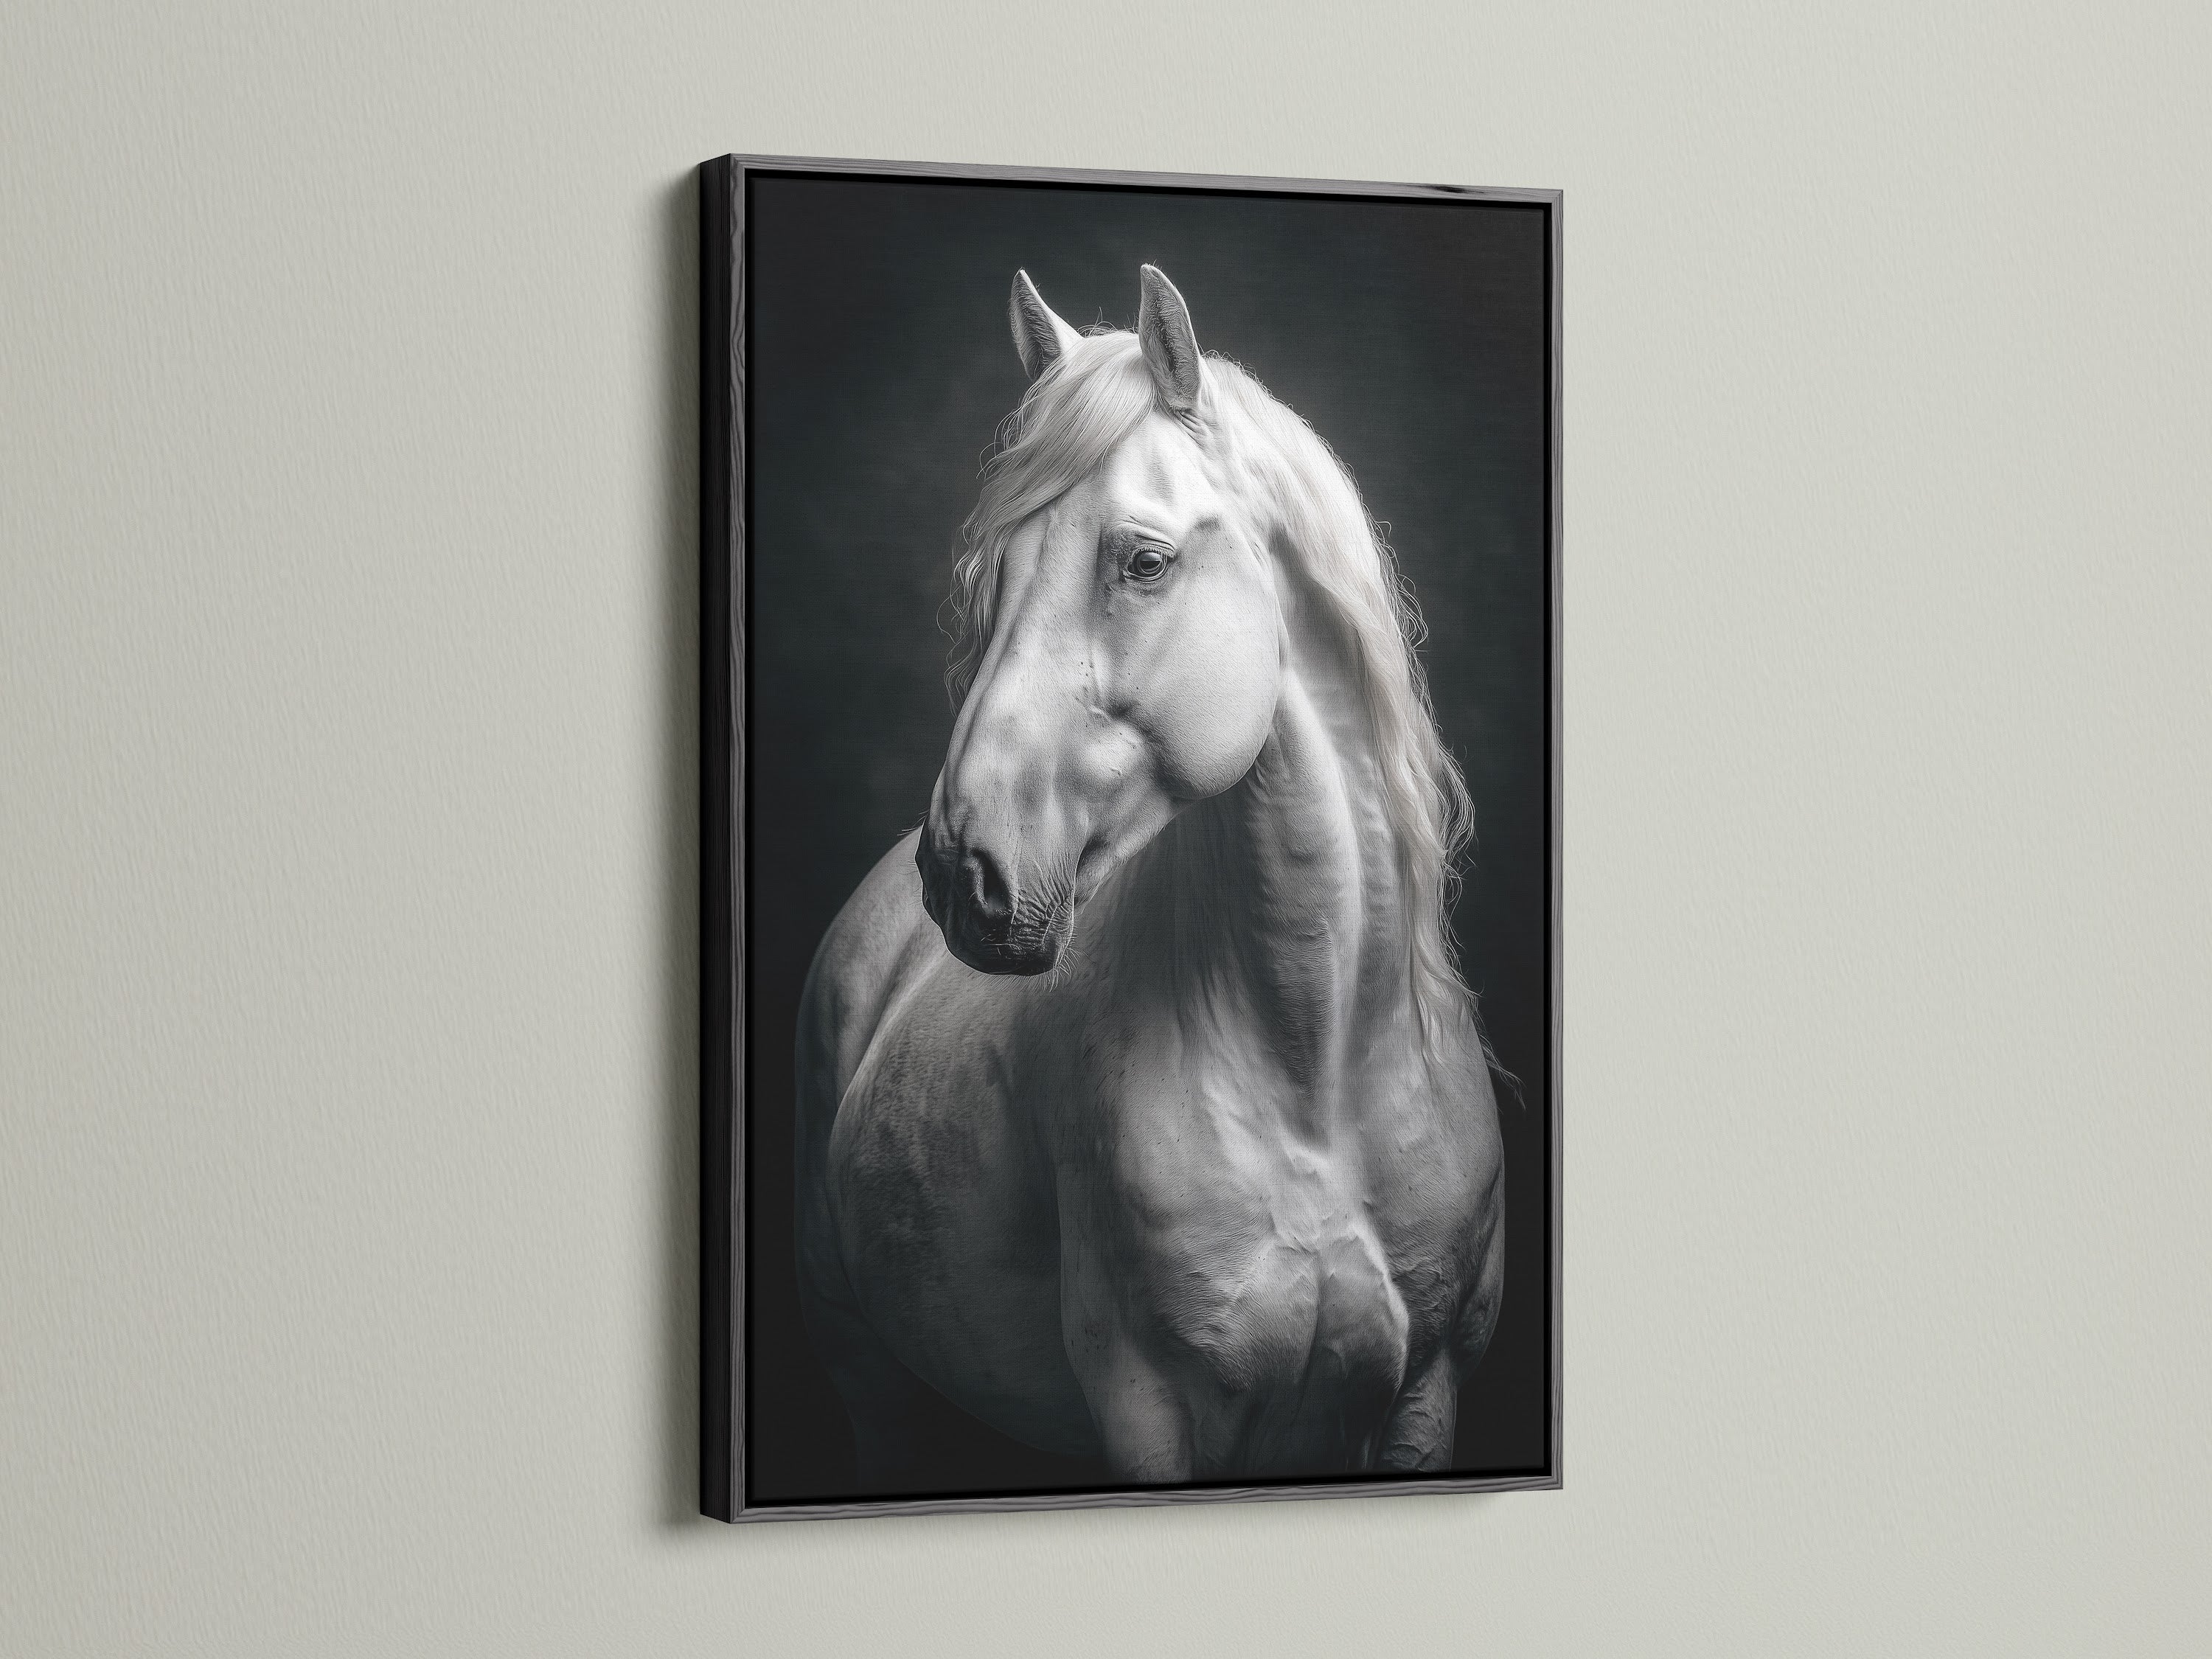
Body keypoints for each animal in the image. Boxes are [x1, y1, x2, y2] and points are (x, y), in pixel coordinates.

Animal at [793, 265, 1504, 1488]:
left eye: (1145, 561)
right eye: (994, 572)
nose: (962, 874)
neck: (1319, 1066)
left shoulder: (1427, 1392)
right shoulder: (1152, 1414)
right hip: (869, 1376)